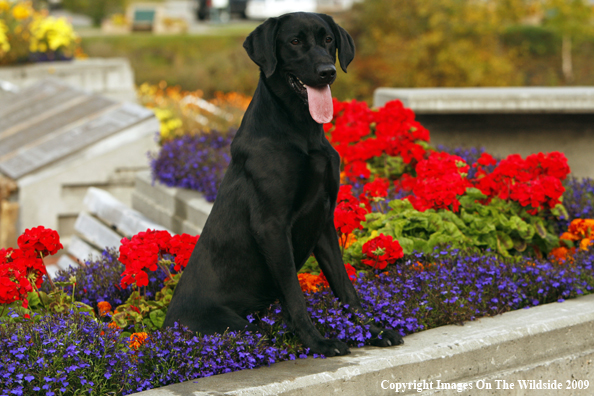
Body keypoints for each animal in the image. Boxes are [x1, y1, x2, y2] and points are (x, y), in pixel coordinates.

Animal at [163, 11, 402, 356]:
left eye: (328, 39)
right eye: (295, 41)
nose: (327, 72)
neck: (302, 130)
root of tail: (164, 330)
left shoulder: (323, 219)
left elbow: (346, 289)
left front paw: (374, 330)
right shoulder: (271, 224)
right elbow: (294, 294)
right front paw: (319, 342)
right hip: (237, 325)